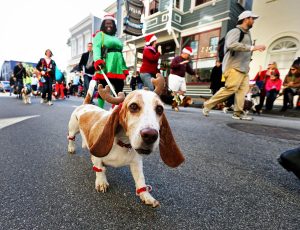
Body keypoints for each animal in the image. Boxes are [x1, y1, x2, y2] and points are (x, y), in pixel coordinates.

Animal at [67, 74, 184, 208]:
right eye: (133, 106)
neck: (123, 143)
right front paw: (101, 182)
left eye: (159, 109)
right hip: (73, 129)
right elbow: (99, 169)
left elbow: (140, 180)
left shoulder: (137, 163)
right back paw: (71, 148)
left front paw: (146, 196)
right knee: (71, 138)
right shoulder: (97, 156)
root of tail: (86, 104)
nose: (150, 135)